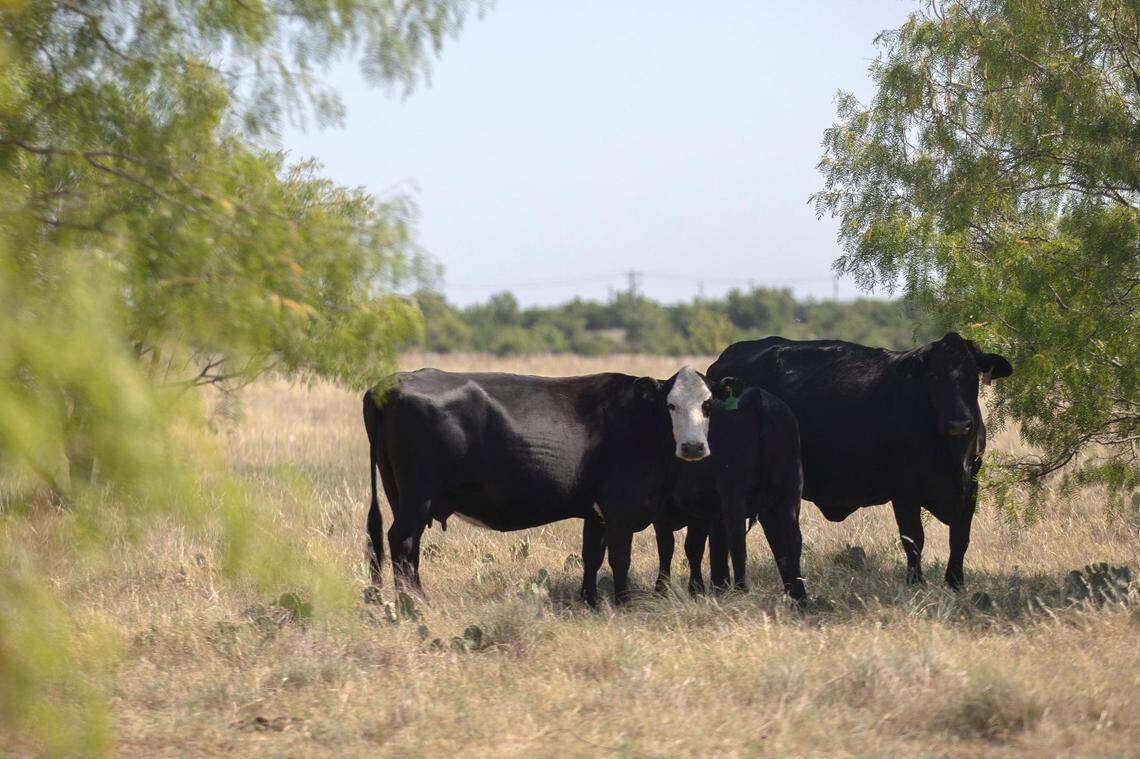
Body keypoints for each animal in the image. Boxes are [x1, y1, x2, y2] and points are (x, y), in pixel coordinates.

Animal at [363, 366, 741, 605]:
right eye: (670, 405)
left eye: (708, 404)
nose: (693, 447)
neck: (638, 420)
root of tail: (392, 382)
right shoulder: (620, 509)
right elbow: (620, 559)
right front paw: (624, 603)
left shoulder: (596, 512)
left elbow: (592, 556)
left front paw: (590, 602)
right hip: (418, 497)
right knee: (402, 541)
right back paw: (416, 603)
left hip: (401, 495)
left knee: (407, 549)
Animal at [654, 385, 807, 600]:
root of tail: (757, 398)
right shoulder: (705, 512)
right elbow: (704, 548)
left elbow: (671, 547)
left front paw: (664, 590)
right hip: (789, 493)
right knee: (790, 540)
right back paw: (798, 595)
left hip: (735, 496)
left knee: (738, 542)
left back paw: (741, 591)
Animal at [705, 332, 1013, 589]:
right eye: (934, 376)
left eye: (973, 375)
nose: (959, 423)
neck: (952, 455)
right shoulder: (905, 492)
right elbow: (914, 539)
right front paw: (916, 584)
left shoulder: (971, 487)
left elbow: (960, 538)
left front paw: (955, 583)